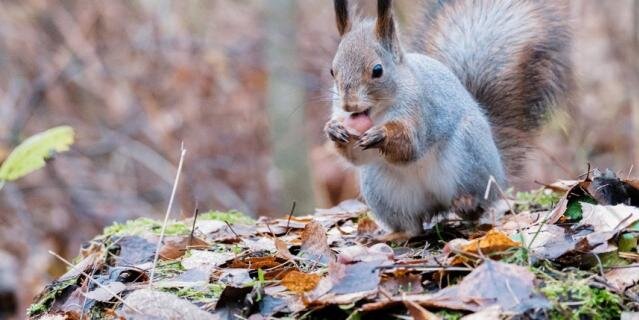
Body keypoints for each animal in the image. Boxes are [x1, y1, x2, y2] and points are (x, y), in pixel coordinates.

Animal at [328, 0, 572, 236]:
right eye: (332, 71)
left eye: (377, 70)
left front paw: (381, 134)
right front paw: (334, 130)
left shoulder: (422, 111)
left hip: (468, 158)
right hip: (384, 191)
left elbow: (410, 145)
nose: (349, 105)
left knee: (477, 206)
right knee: (412, 227)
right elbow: (356, 157)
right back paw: (395, 235)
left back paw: (466, 203)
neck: (380, 111)